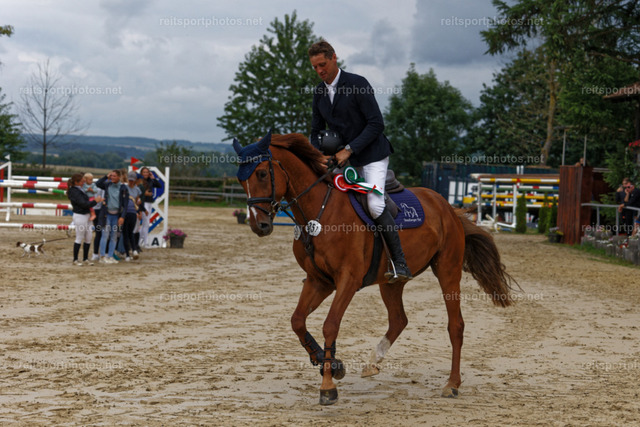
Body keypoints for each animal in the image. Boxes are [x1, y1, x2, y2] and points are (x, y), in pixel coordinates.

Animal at [233, 131, 517, 405]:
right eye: (240, 179)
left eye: (261, 173)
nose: (259, 225)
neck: (319, 211)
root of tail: (449, 208)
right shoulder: (319, 280)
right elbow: (297, 321)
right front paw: (330, 363)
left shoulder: (347, 279)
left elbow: (330, 325)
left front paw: (328, 387)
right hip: (392, 281)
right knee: (399, 319)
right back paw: (373, 361)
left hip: (448, 270)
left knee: (455, 325)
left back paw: (452, 384)